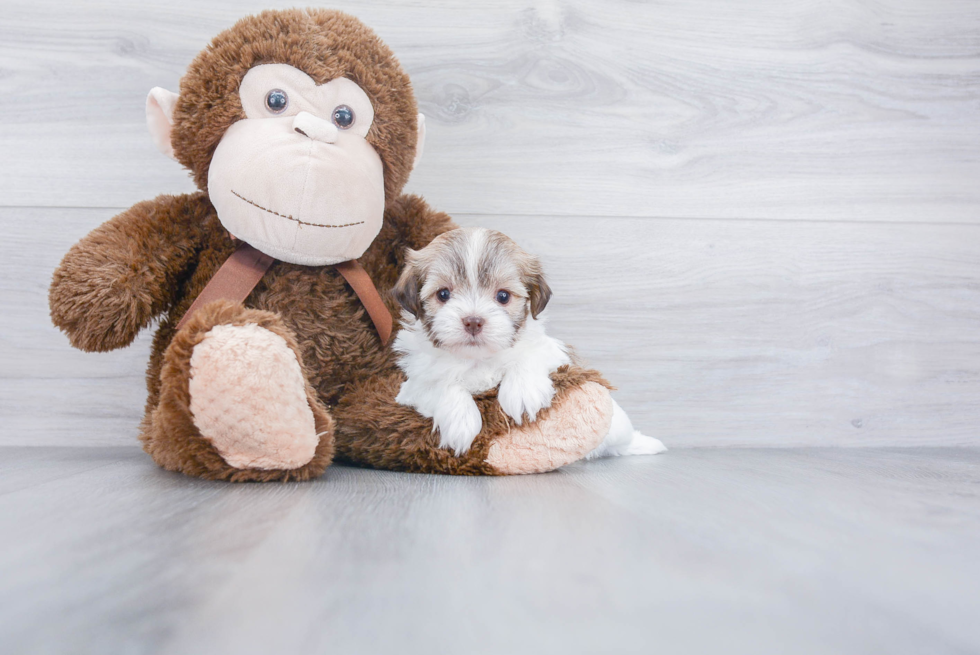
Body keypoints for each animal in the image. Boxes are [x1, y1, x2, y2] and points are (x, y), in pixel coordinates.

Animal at [390, 229, 668, 462]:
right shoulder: (412, 386)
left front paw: (523, 394)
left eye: (503, 296)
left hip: (617, 425)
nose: (473, 321)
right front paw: (461, 423)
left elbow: (528, 356)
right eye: (443, 294)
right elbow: (441, 383)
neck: (478, 359)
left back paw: (643, 444)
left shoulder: (554, 353)